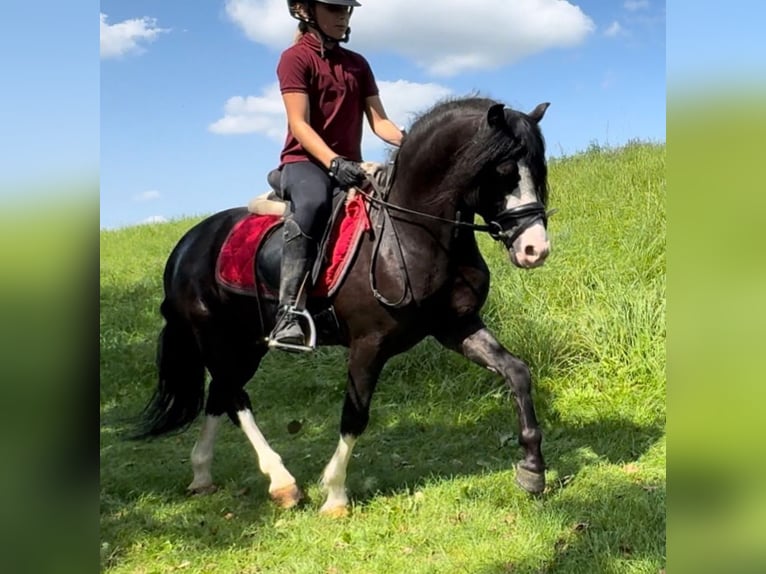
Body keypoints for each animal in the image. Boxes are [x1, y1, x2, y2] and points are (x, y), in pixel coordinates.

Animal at [138, 97, 556, 516]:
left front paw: (533, 469)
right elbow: (355, 414)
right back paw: (283, 482)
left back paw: (203, 474)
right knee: (234, 395)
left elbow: (517, 372)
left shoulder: (457, 326)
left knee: (221, 395)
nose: (535, 249)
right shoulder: (368, 344)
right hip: (214, 337)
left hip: (247, 342)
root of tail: (186, 246)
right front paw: (336, 493)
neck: (408, 235)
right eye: (502, 171)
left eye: (539, 170)